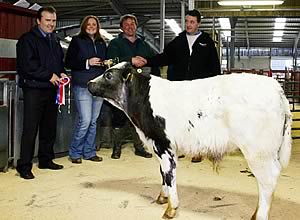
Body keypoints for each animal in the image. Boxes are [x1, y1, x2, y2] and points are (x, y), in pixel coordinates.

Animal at [88, 62, 292, 220]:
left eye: (108, 75)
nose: (89, 83)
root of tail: (278, 89)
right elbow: (162, 173)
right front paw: (163, 197)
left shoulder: (163, 144)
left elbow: (169, 174)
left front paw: (171, 209)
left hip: (258, 151)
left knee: (268, 180)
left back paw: (260, 215)